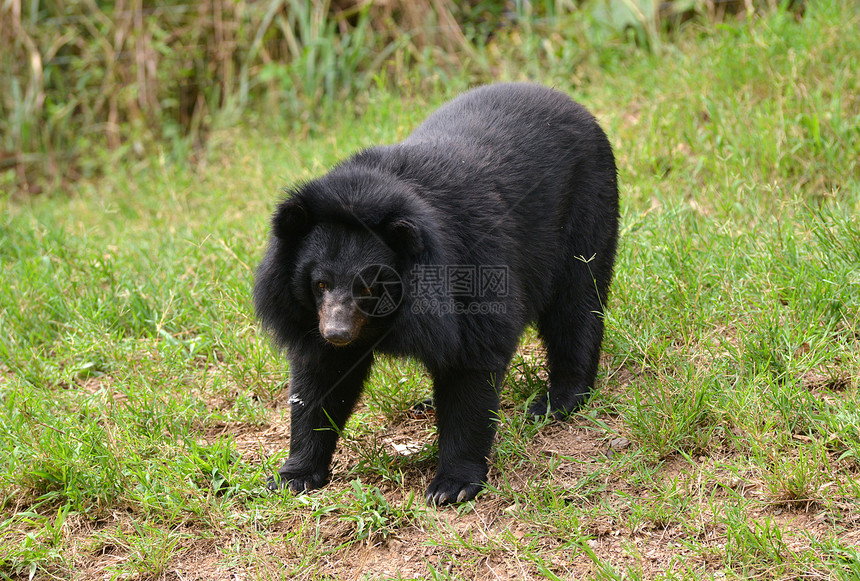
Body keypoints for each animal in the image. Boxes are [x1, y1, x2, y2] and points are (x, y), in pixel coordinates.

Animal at [254, 81, 620, 502]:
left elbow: (470, 364)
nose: (337, 333)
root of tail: (570, 101)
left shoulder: (473, 268)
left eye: (369, 285)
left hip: (587, 206)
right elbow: (321, 380)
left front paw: (451, 486)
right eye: (320, 283)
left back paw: (558, 401)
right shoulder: (303, 314)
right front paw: (293, 475)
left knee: (577, 303)